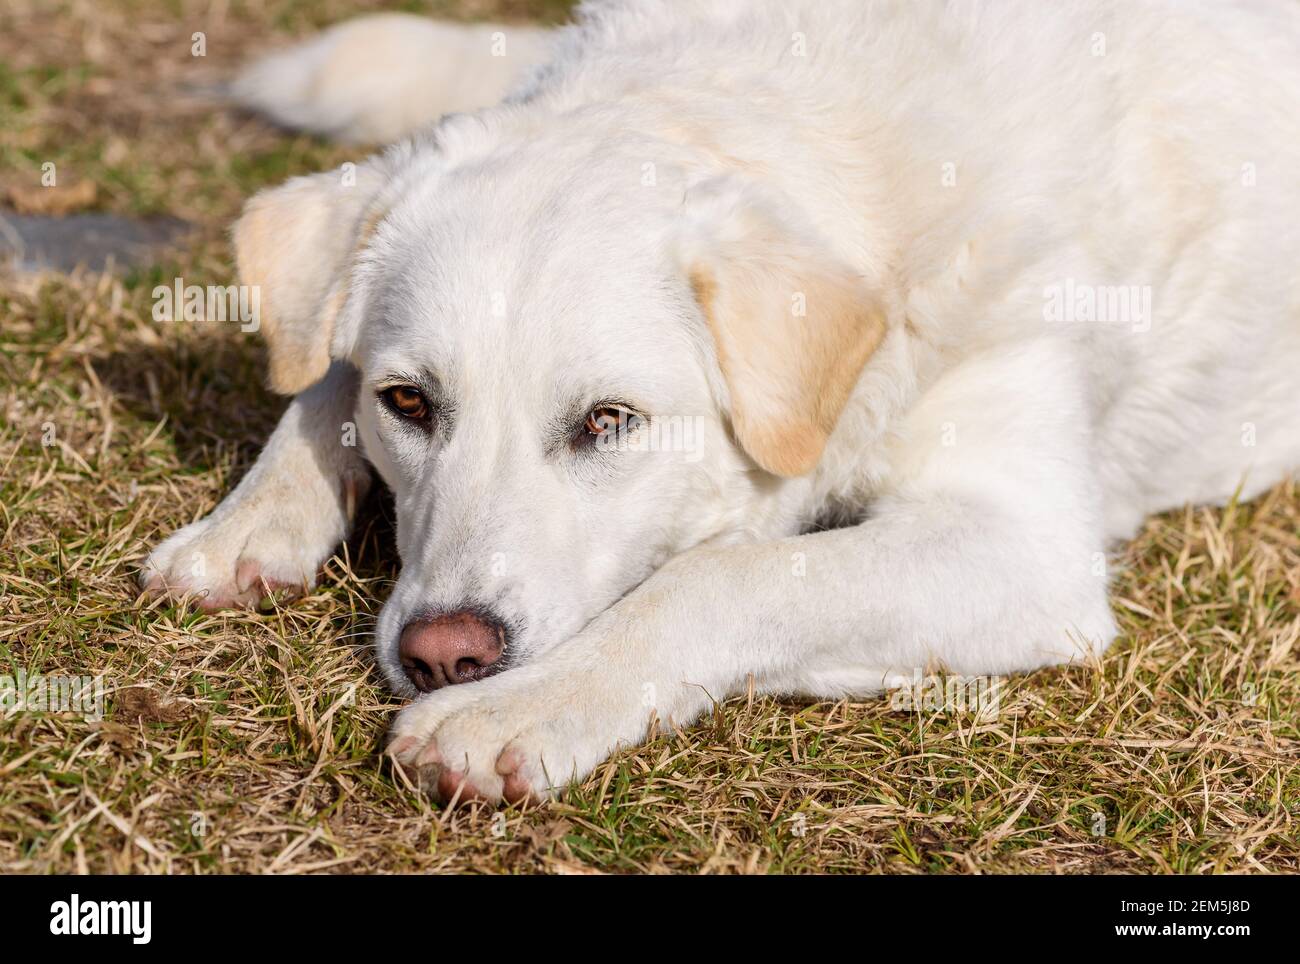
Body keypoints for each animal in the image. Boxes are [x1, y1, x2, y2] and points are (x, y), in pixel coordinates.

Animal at [142, 1, 1300, 805]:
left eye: (607, 422)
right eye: (409, 402)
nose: (444, 656)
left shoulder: (1027, 551)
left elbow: (719, 576)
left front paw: (517, 709)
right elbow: (315, 373)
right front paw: (245, 525)